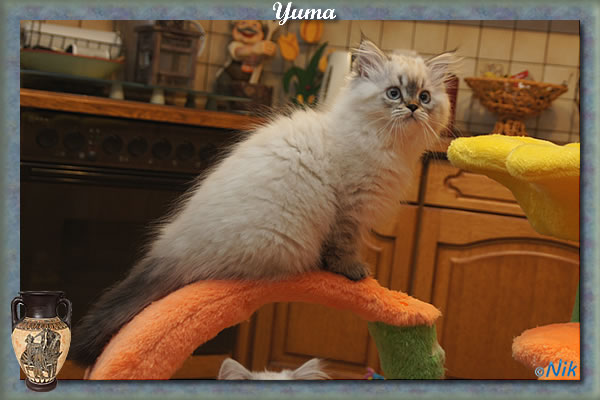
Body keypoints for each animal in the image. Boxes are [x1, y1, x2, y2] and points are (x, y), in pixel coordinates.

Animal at [69, 39, 457, 367]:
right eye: (393, 93)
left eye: (424, 97)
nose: (412, 107)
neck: (387, 145)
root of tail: (172, 248)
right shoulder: (350, 209)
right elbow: (343, 248)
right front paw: (354, 274)